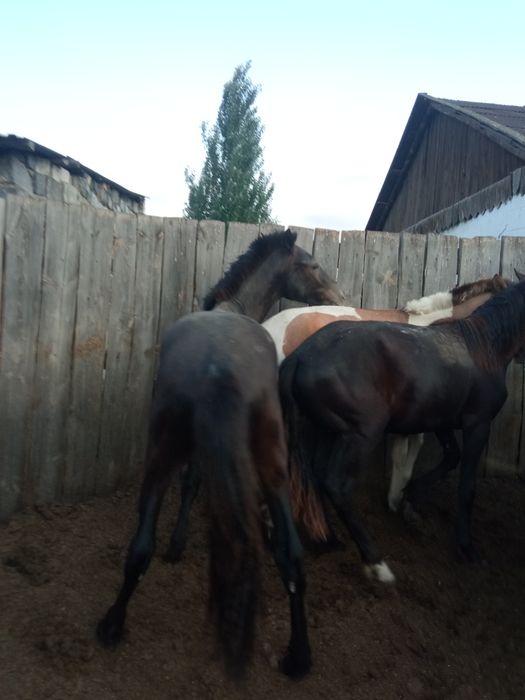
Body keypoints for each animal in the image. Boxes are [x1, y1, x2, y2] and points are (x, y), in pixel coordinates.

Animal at [96, 229, 344, 679]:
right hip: (266, 464)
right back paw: (297, 657)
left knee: (142, 545)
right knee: (290, 554)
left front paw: (177, 546)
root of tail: (220, 364)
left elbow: (191, 483)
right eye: (313, 265)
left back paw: (112, 624)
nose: (338, 294)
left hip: (165, 453)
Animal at [279, 278, 525, 585]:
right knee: (337, 485)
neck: (480, 346)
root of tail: (300, 356)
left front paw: (409, 502)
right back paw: (375, 562)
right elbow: (465, 485)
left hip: (327, 430)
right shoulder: (476, 424)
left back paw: (331, 540)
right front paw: (467, 548)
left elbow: (445, 457)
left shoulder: (439, 419)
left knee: (313, 476)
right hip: (362, 434)